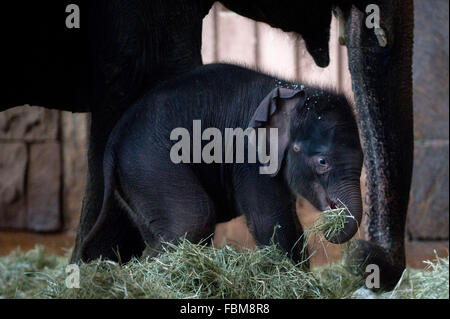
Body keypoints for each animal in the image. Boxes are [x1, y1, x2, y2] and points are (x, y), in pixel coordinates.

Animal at [83, 63, 362, 264]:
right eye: (323, 162)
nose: (329, 228)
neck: (292, 91)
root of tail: (113, 142)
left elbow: (287, 218)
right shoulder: (248, 157)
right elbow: (270, 221)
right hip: (149, 164)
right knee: (192, 219)